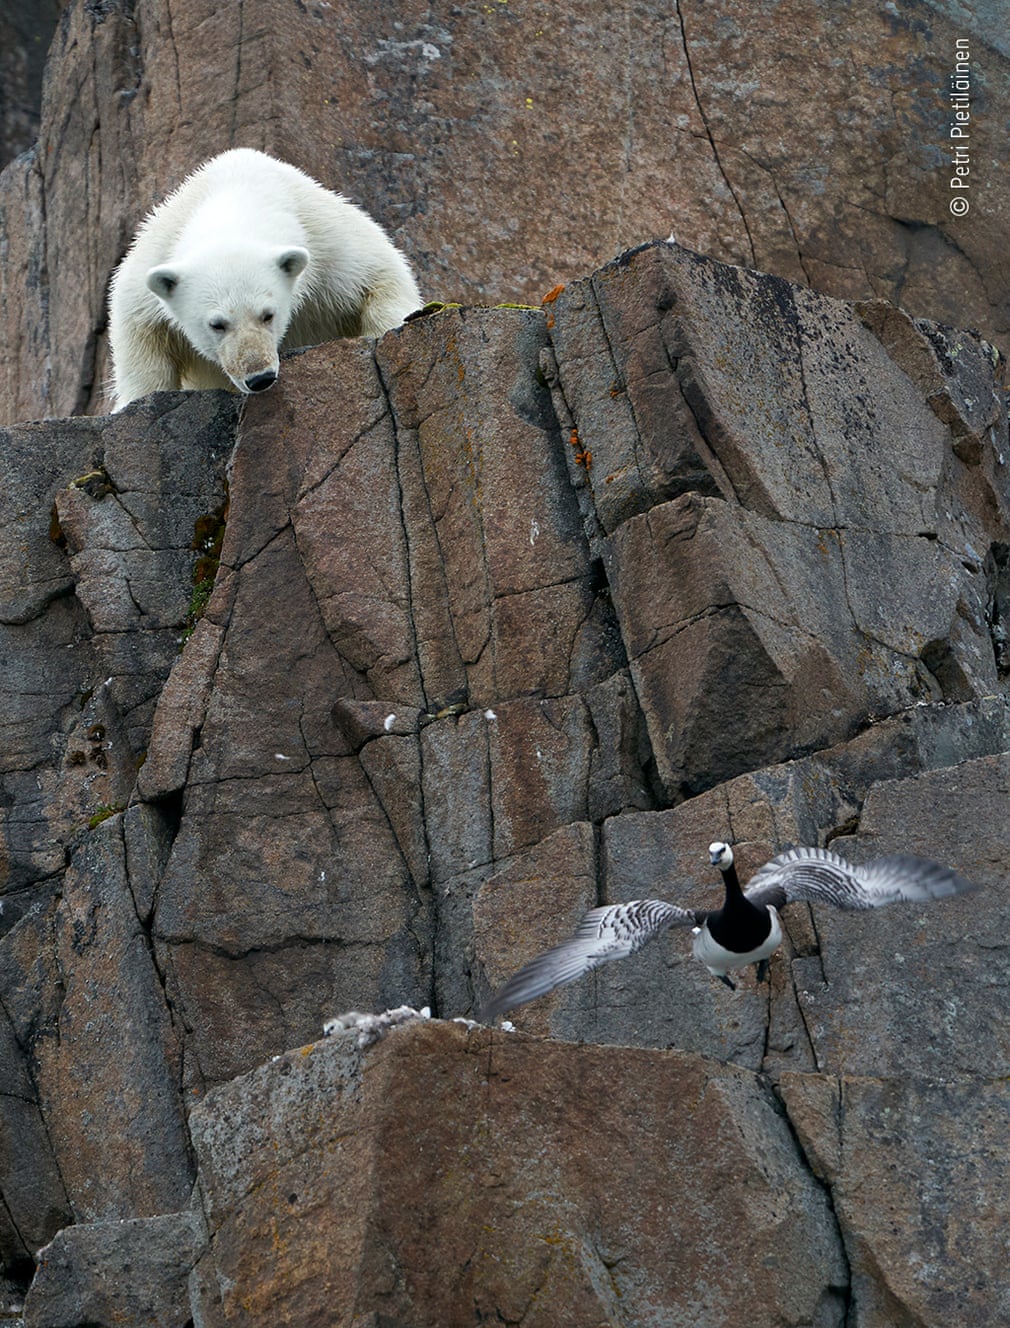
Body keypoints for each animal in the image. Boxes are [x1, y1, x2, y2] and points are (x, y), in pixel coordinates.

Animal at [108, 149, 424, 409]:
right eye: (217, 324)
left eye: (268, 315)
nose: (259, 378)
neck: (237, 192)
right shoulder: (148, 274)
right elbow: (142, 353)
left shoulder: (330, 245)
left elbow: (383, 276)